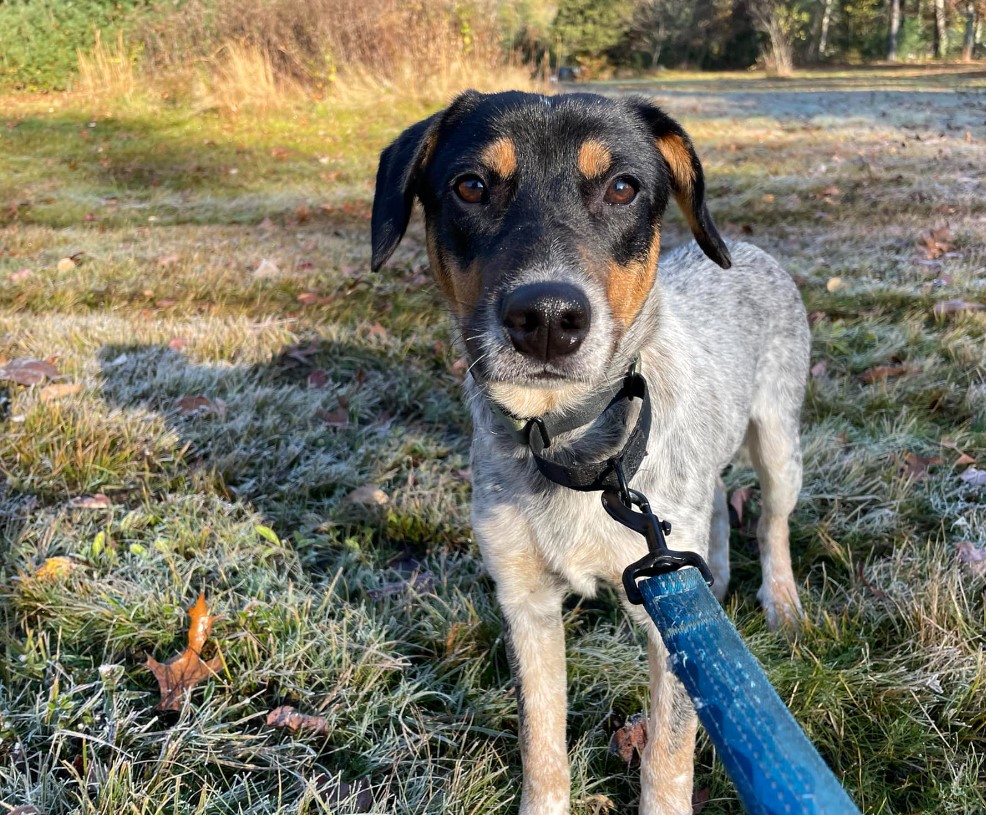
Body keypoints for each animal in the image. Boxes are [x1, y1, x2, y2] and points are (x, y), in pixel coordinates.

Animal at [368, 91, 808, 815]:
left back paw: (784, 604)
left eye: (623, 187)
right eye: (471, 185)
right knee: (717, 499)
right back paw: (715, 577)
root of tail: (744, 246)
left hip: (778, 440)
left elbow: (666, 759)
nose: (547, 318)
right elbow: (541, 744)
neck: (573, 447)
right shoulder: (525, 601)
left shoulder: (664, 624)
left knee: (772, 521)